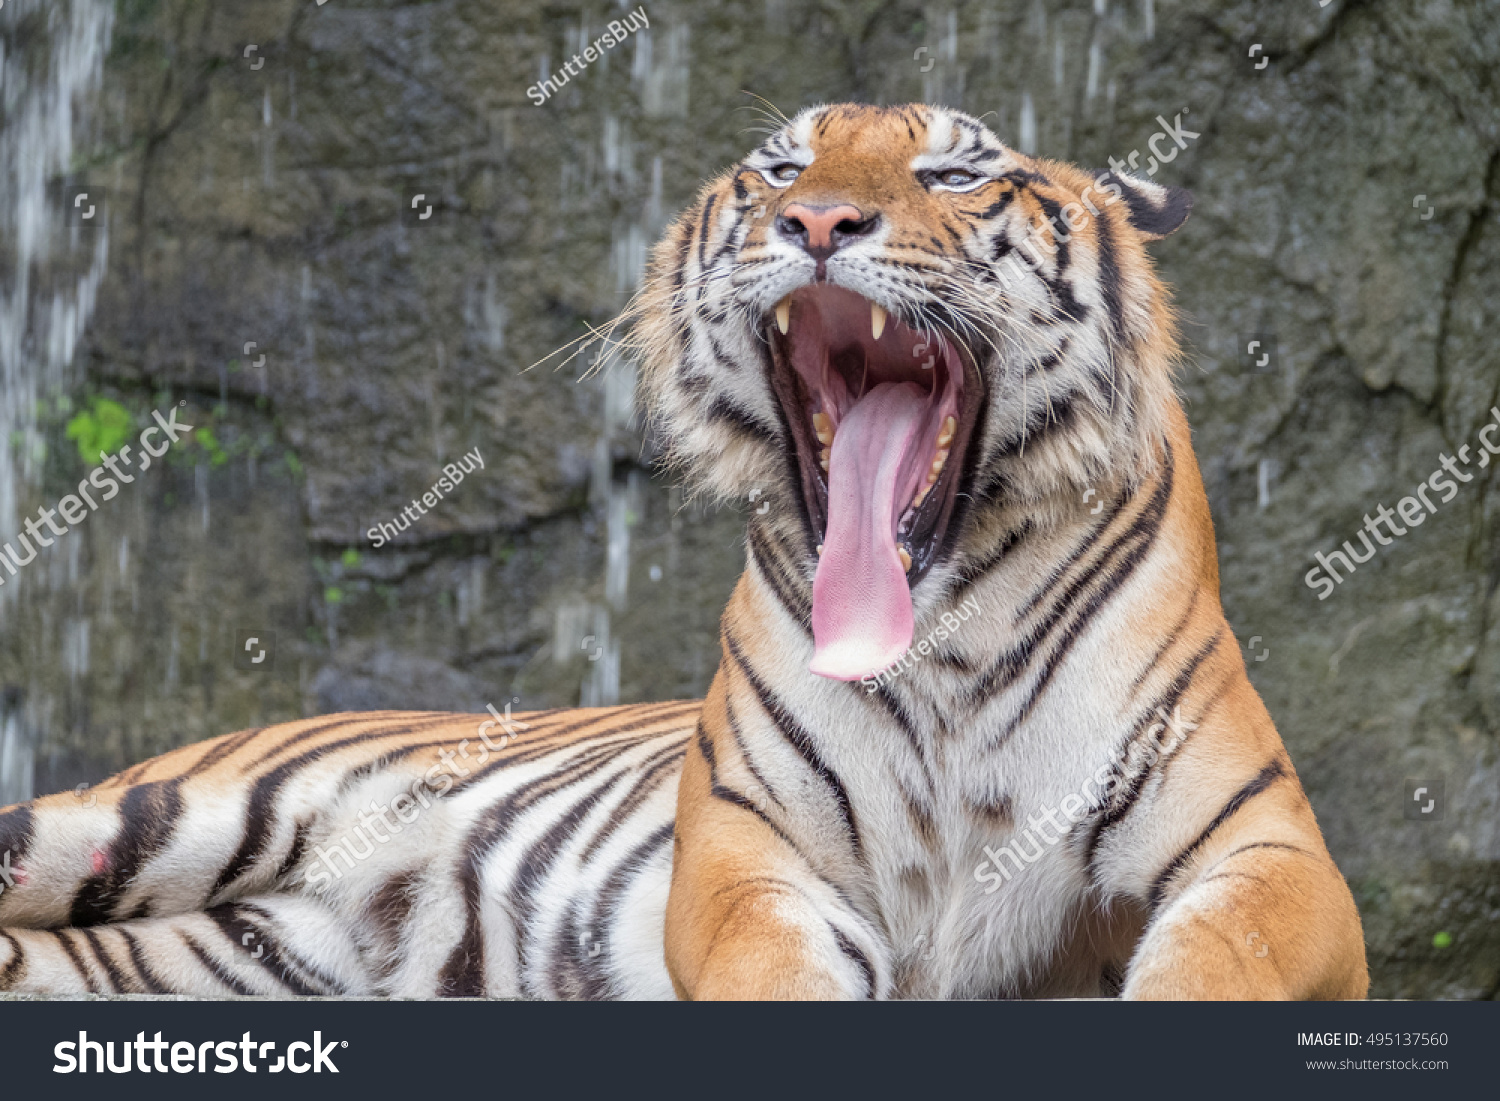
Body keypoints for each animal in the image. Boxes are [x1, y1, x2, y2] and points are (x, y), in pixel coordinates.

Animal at [0, 103, 1374, 1002]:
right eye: (782, 166)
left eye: (951, 171)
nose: (817, 219)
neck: (939, 639)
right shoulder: (747, 858)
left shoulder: (1269, 855)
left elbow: (1221, 960)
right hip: (149, 819)